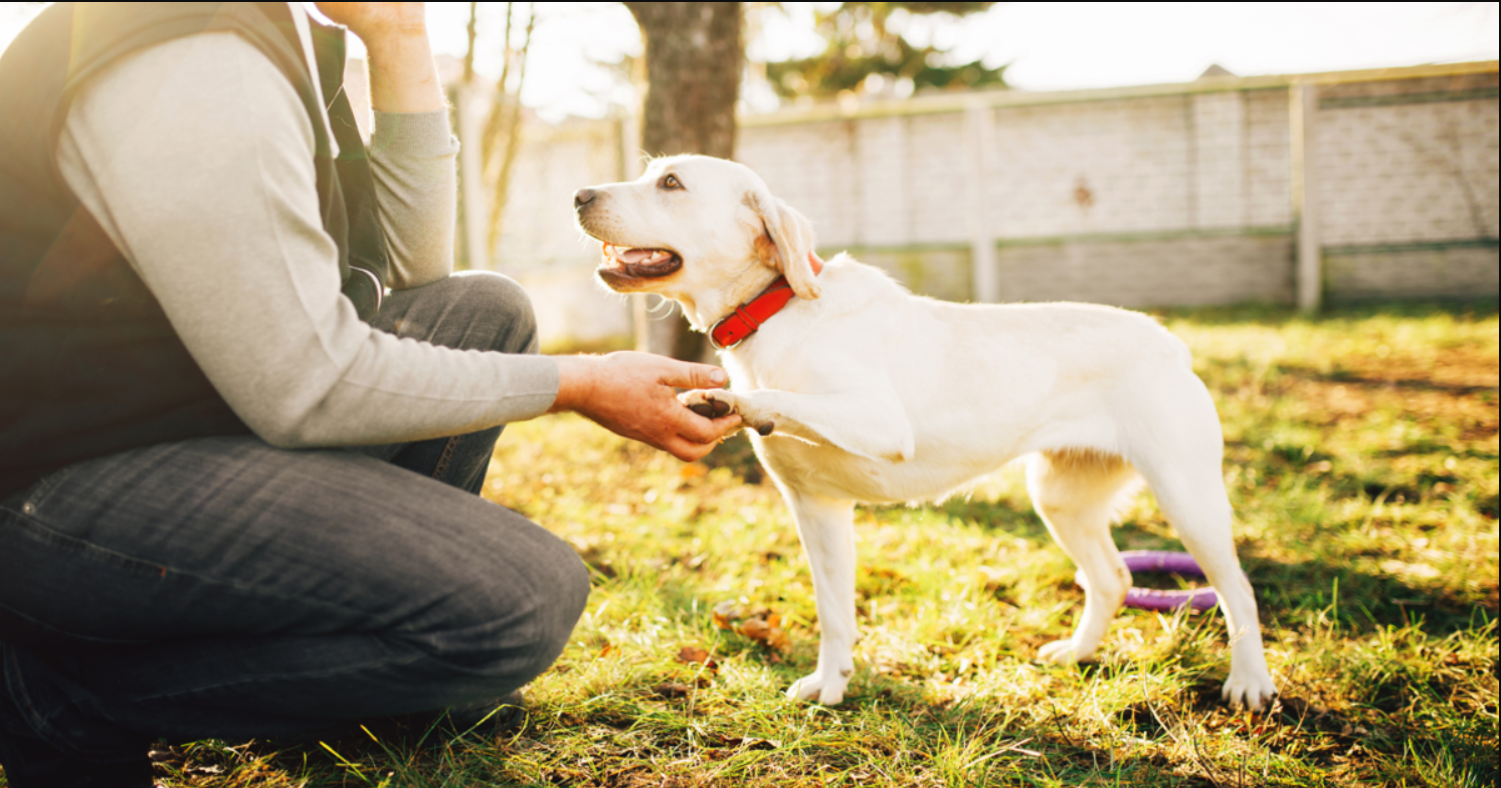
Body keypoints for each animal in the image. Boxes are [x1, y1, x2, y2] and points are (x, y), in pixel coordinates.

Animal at [573, 152, 1278, 705]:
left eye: (671, 183)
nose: (579, 195)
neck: (776, 312)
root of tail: (1168, 340)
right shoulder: (817, 510)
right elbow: (834, 611)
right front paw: (830, 685)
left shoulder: (880, 421)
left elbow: (781, 397)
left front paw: (738, 403)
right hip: (1060, 499)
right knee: (1113, 579)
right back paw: (1076, 654)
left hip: (1188, 499)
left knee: (1238, 591)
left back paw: (1250, 684)